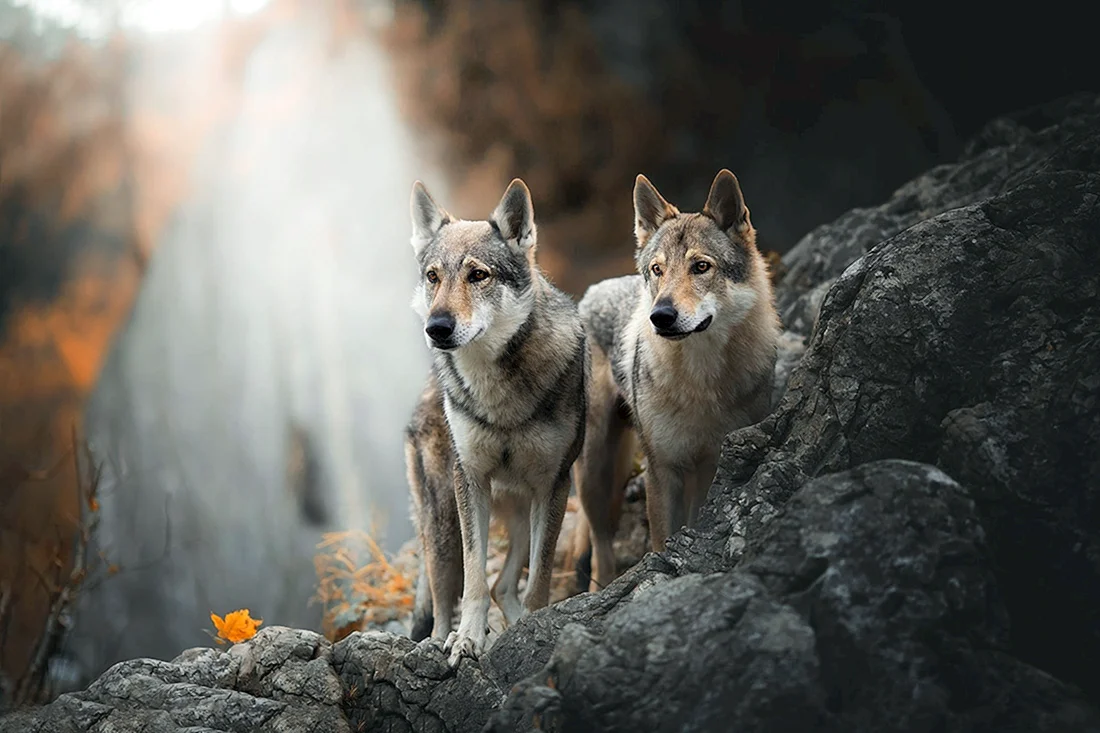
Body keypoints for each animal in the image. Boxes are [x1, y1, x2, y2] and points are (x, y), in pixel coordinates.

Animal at [403, 178, 587, 666]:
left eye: (478, 275)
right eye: (434, 277)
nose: (437, 328)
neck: (497, 393)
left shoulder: (553, 485)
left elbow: (539, 576)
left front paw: (533, 627)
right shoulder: (470, 482)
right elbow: (473, 581)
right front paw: (467, 639)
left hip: (521, 513)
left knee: (505, 585)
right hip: (443, 521)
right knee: (442, 598)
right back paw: (437, 642)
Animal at [572, 169, 781, 591]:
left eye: (701, 267)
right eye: (658, 269)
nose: (661, 316)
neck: (702, 383)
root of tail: (591, 291)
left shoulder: (711, 464)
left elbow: (691, 523)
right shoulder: (663, 468)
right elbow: (662, 538)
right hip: (595, 468)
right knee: (600, 545)